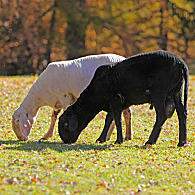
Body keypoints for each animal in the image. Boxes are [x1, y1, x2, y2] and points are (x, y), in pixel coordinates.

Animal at [59, 50, 189, 146]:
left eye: (65, 125)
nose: (66, 141)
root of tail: (180, 63)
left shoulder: (115, 99)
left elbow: (117, 119)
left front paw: (118, 140)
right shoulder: (113, 103)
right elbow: (109, 119)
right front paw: (101, 139)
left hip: (159, 93)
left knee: (161, 115)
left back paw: (150, 141)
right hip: (177, 91)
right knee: (182, 113)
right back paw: (182, 142)